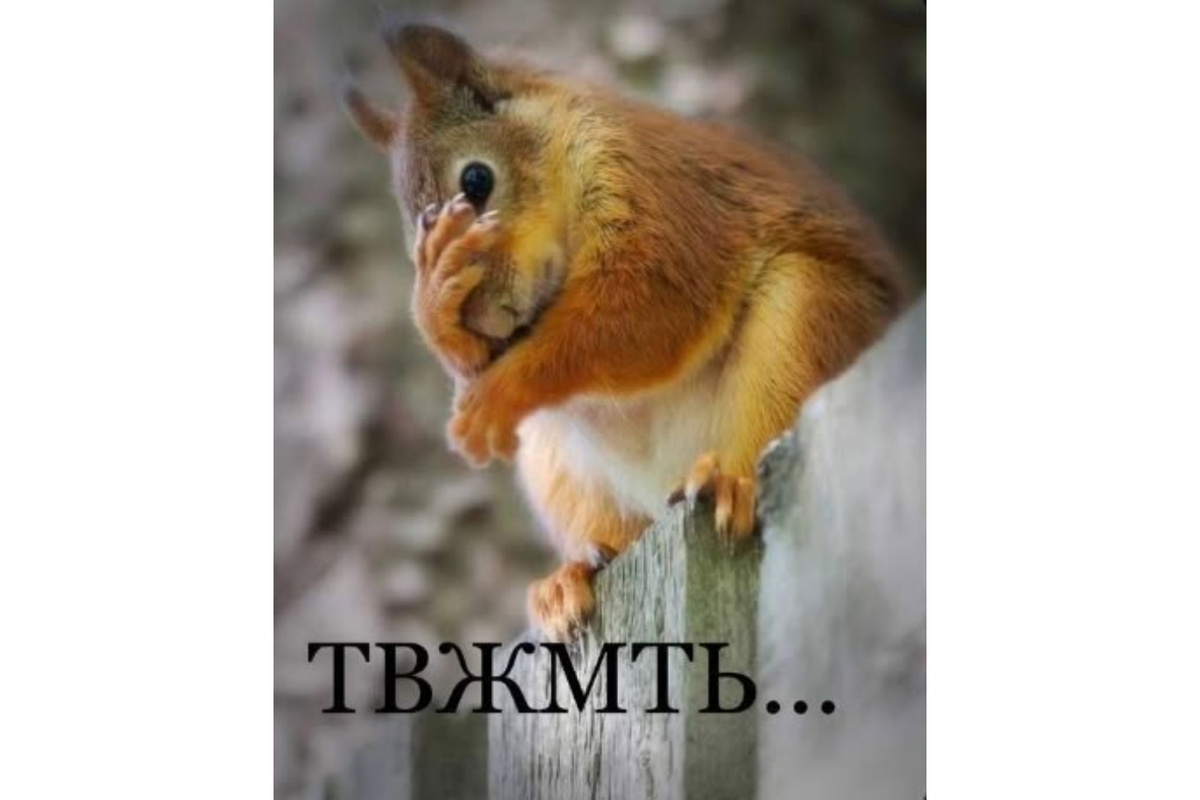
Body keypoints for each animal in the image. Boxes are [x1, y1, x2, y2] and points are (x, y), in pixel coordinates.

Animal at [346, 24, 909, 641]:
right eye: (412, 236)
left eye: (476, 180)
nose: (486, 319)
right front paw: (438, 305)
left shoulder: (656, 198)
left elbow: (640, 317)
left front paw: (495, 395)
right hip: (558, 464)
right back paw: (567, 580)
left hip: (804, 324)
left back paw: (729, 484)